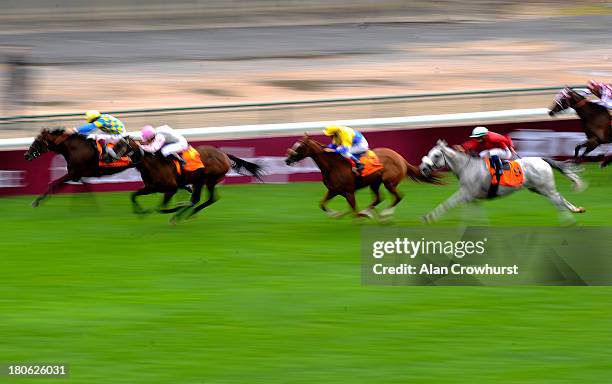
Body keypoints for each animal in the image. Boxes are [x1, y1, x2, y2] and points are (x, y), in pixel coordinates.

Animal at [418, 140, 584, 224]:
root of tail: (542, 159)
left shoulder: (465, 194)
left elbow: (448, 203)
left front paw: (429, 217)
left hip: (545, 188)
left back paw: (569, 220)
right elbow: (475, 215)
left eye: (436, 155)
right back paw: (576, 209)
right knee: (560, 197)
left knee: (558, 201)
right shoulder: (473, 198)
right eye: (429, 153)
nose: (423, 168)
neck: (467, 167)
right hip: (539, 188)